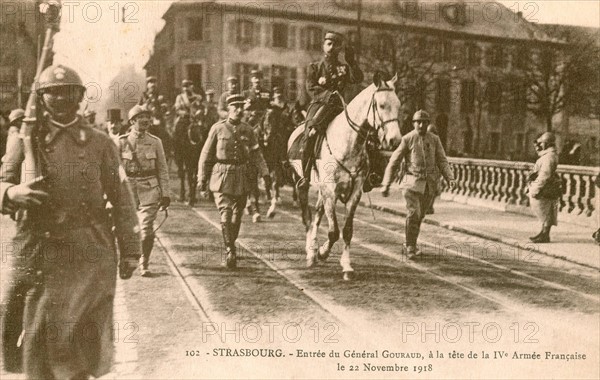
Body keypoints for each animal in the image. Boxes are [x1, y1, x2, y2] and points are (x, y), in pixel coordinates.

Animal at [288, 72, 400, 280]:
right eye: (381, 105)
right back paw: (310, 251)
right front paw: (323, 252)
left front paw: (346, 266)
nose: (394, 140)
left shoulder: (354, 193)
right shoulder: (330, 191)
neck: (348, 143)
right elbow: (333, 231)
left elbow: (347, 231)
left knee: (317, 214)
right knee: (307, 216)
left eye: (398, 105)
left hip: (322, 189)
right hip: (303, 182)